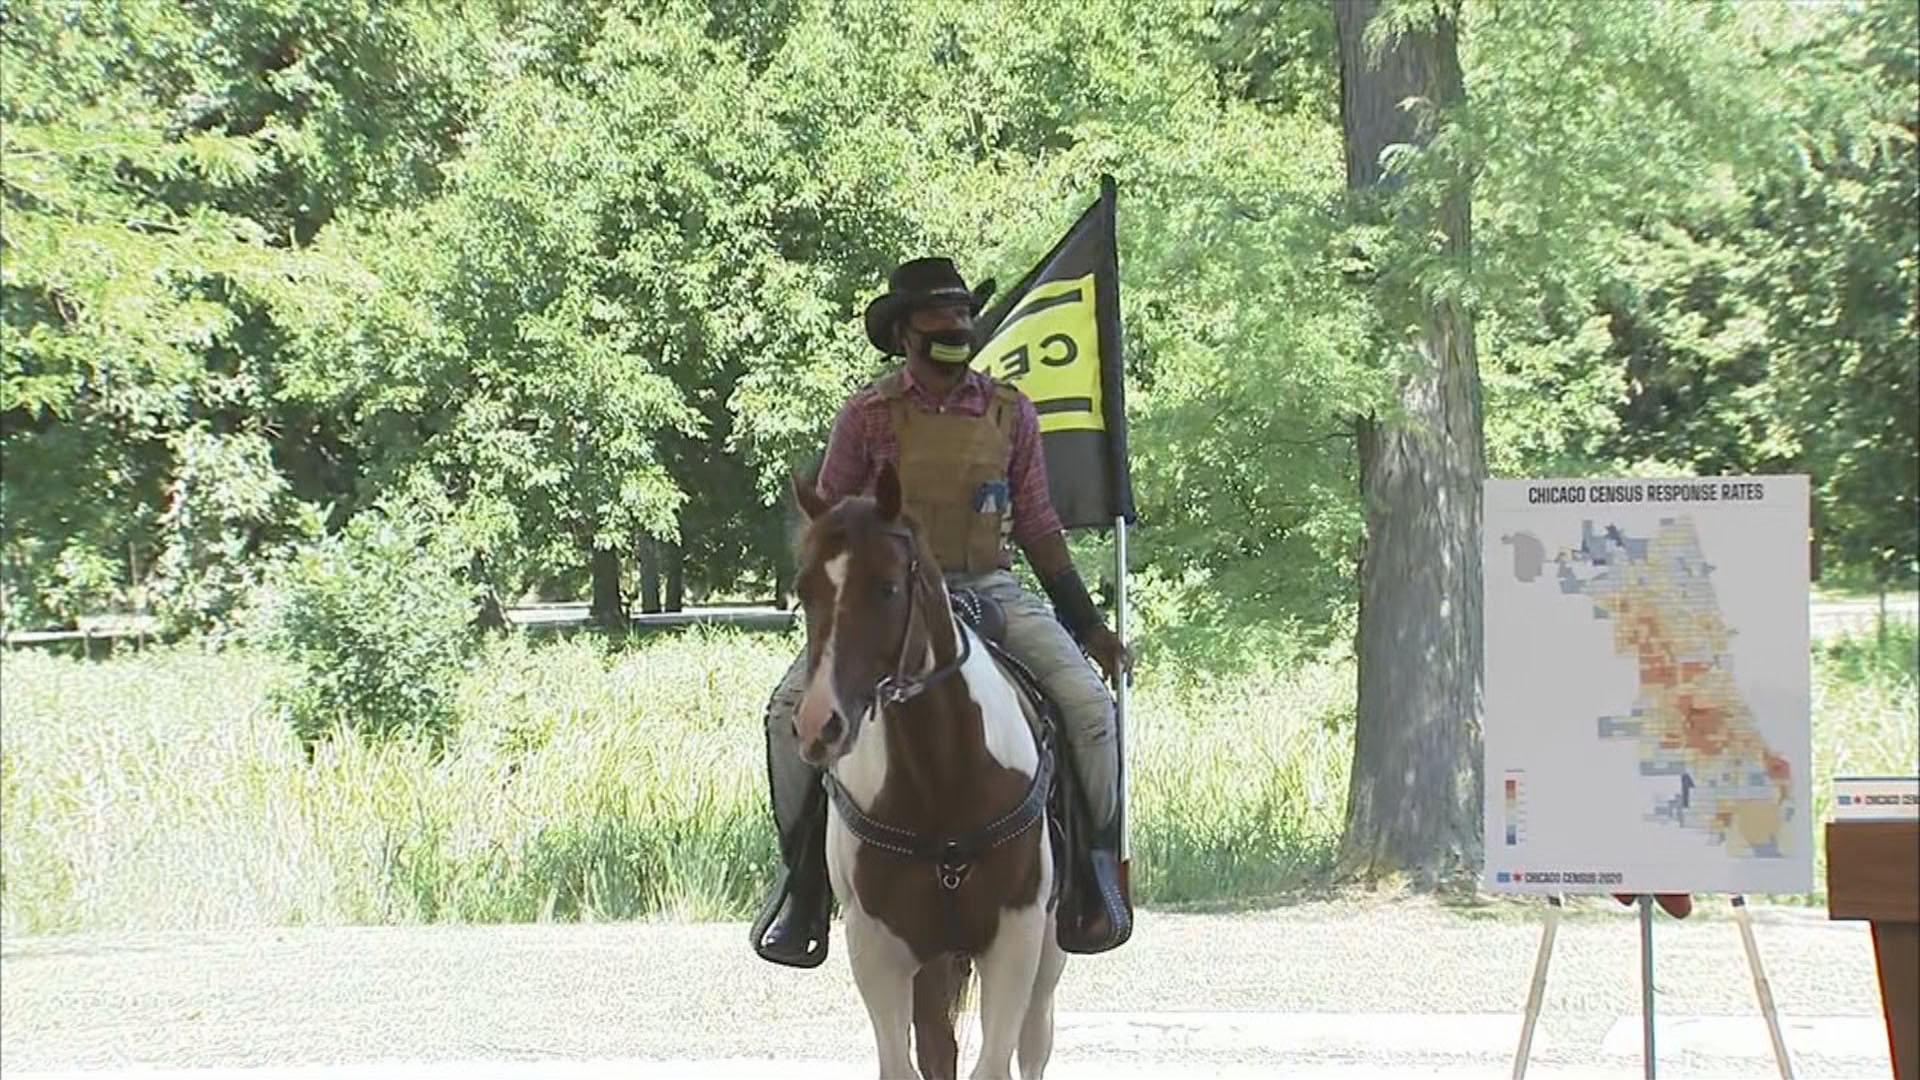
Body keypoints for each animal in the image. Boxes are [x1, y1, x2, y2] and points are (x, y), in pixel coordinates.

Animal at [787, 461, 1075, 1076]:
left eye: (888, 587)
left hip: (1047, 956)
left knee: (1034, 1043)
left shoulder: (1015, 938)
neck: (939, 779)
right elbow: (907, 1061)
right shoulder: (880, 949)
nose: (820, 724)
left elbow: (995, 1062)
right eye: (805, 590)